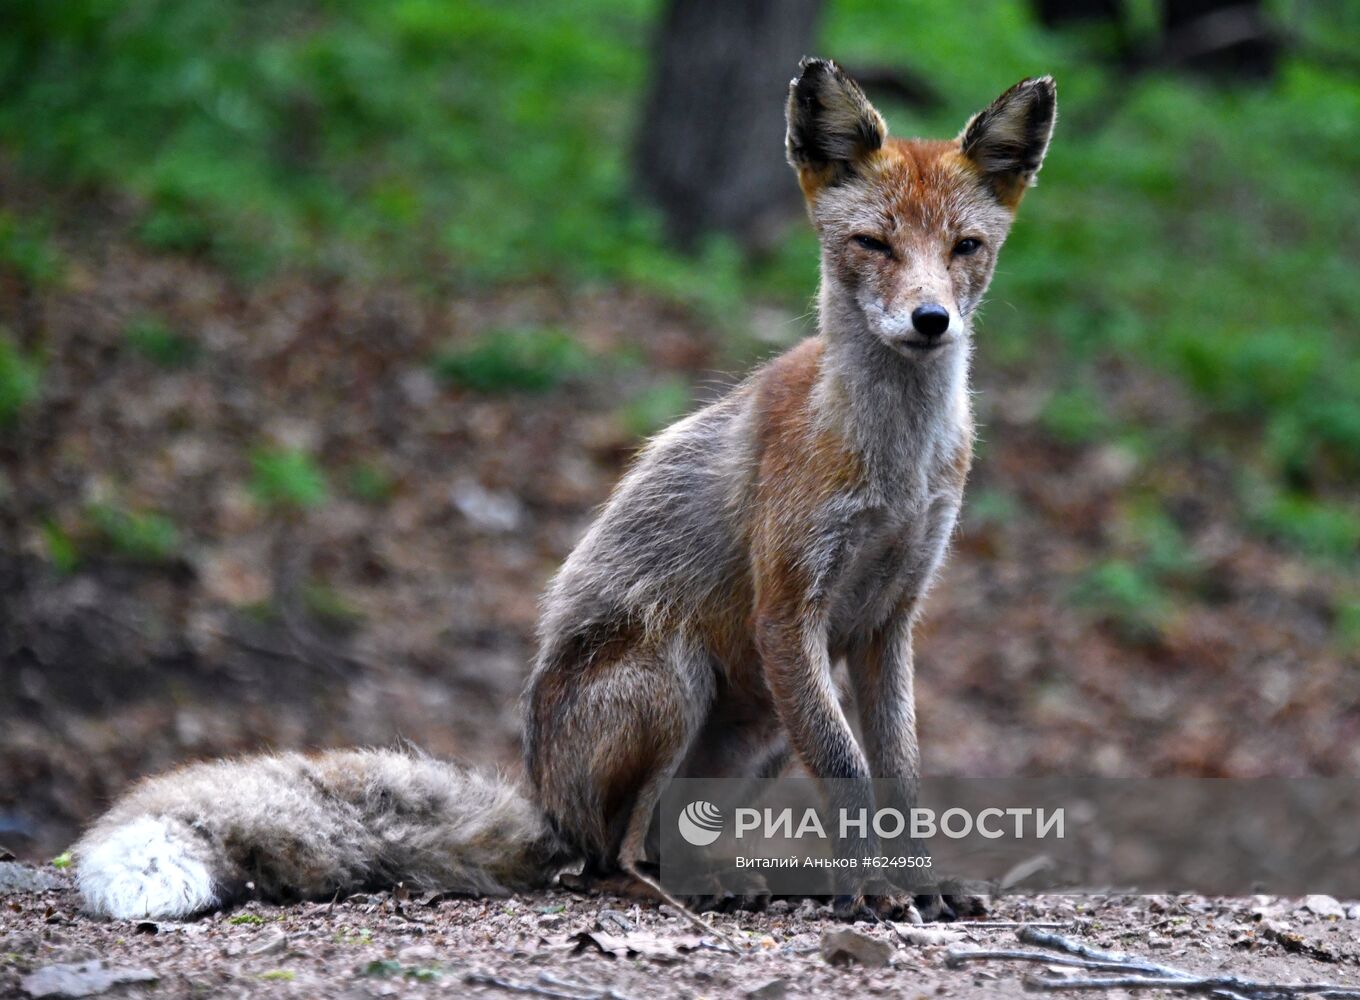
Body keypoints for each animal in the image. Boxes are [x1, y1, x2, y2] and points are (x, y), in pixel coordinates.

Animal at [74, 58, 1055, 925]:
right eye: (874, 244)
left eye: (965, 249)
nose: (930, 321)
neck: (894, 464)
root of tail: (545, 804)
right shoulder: (789, 613)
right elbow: (850, 777)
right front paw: (882, 894)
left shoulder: (889, 622)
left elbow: (900, 778)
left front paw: (921, 883)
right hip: (677, 675)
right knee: (608, 860)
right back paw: (671, 893)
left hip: (762, 729)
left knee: (658, 840)